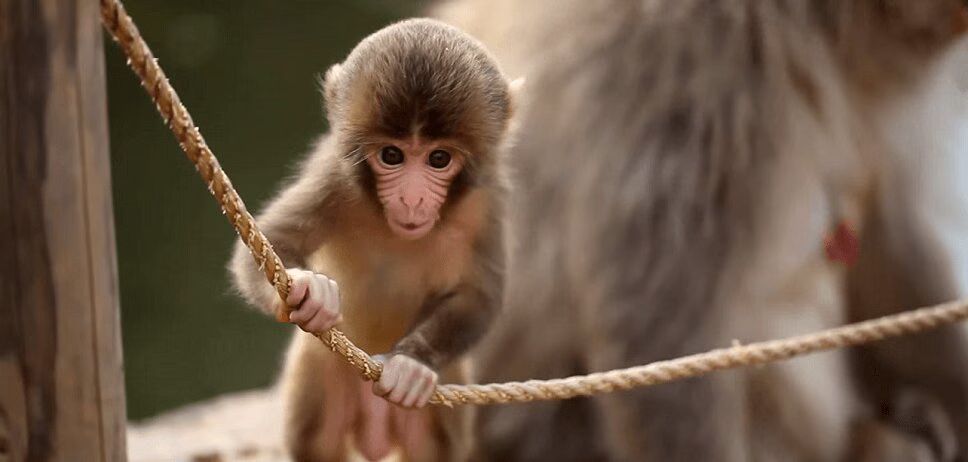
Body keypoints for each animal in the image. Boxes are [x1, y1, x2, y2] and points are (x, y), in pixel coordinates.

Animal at [228, 18, 519, 462]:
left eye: (439, 158)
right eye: (391, 156)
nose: (412, 198)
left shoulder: (486, 202)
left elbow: (479, 296)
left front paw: (412, 364)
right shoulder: (336, 176)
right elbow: (271, 242)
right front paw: (310, 291)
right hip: (323, 373)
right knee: (318, 440)